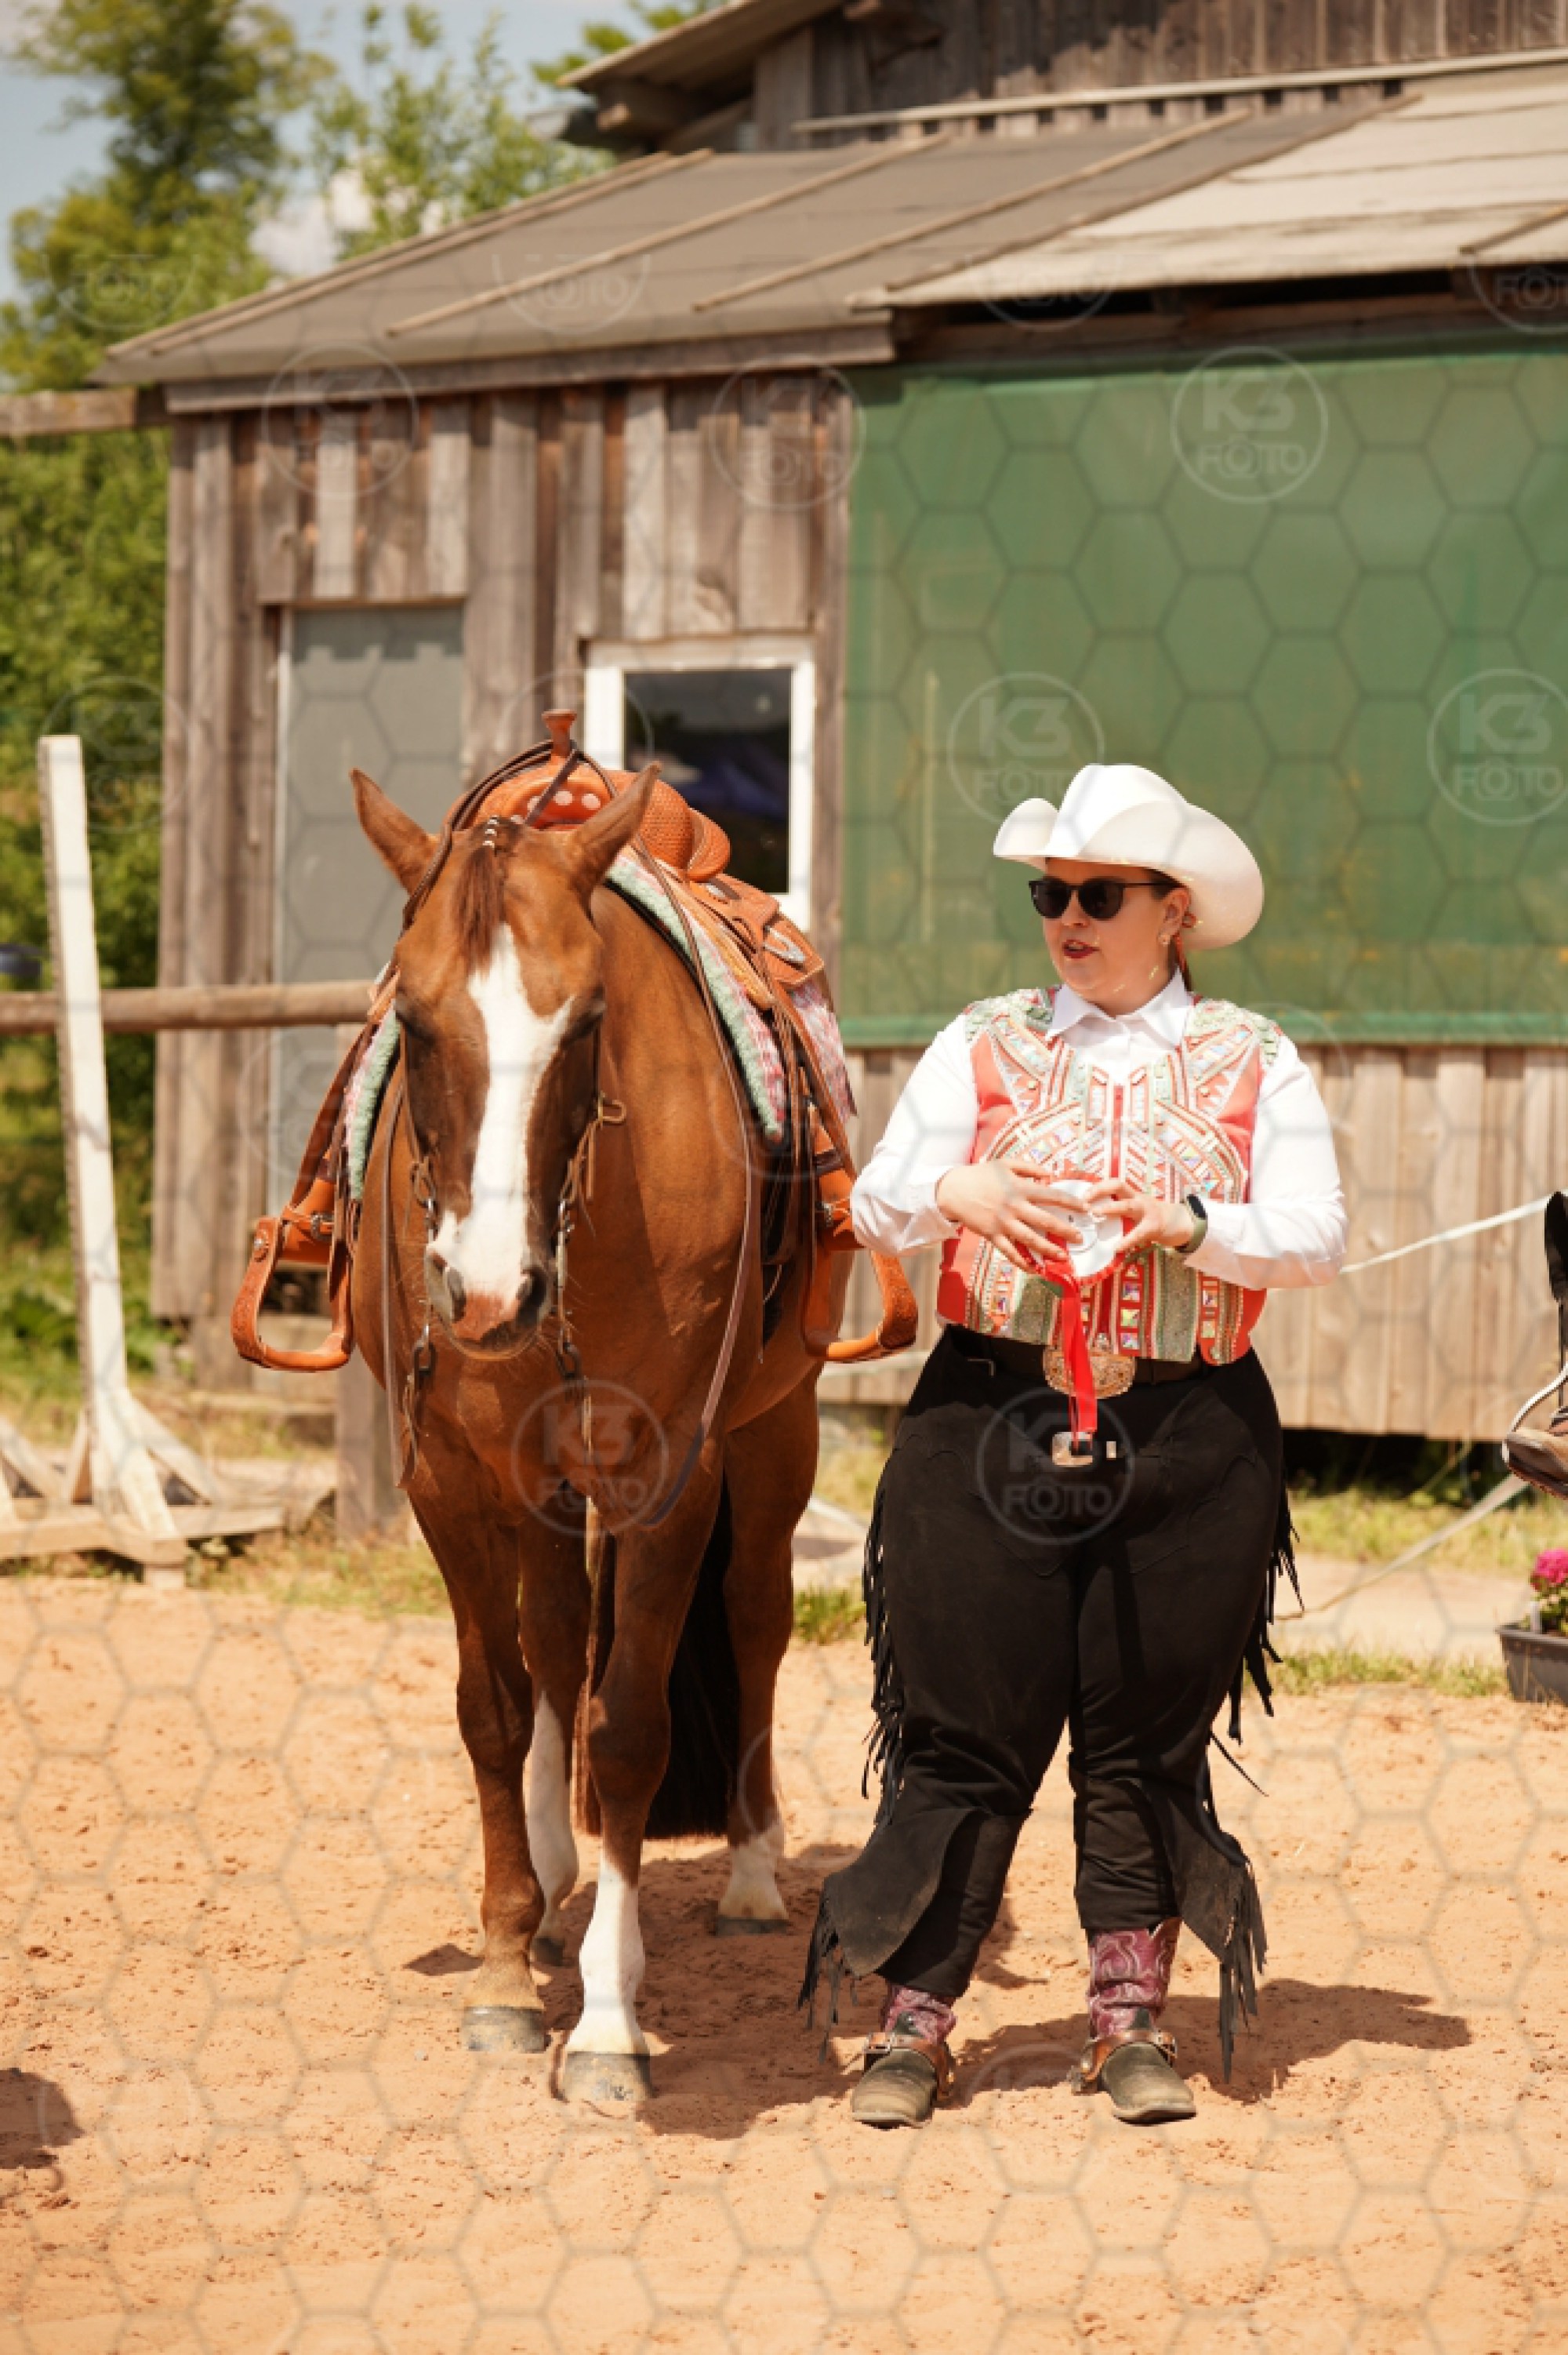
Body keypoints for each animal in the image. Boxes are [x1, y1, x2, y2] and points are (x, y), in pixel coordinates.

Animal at [348, 762, 848, 2102]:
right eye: (415, 1020)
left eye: (583, 1024)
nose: (486, 1293)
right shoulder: (454, 1478)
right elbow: (495, 1704)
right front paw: (506, 1969)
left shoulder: (668, 1471)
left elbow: (628, 1729)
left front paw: (610, 2021)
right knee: (556, 1642)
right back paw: (552, 1875)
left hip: (773, 1444)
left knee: (755, 1620)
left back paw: (747, 1868)